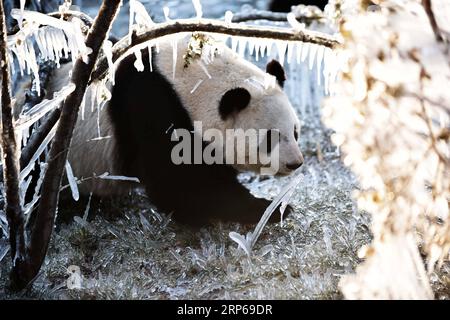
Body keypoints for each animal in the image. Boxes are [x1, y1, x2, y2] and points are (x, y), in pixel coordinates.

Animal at [19, 34, 304, 225]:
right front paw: (267, 209)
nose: (295, 163)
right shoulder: (152, 106)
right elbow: (181, 183)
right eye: (269, 138)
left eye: (295, 131)